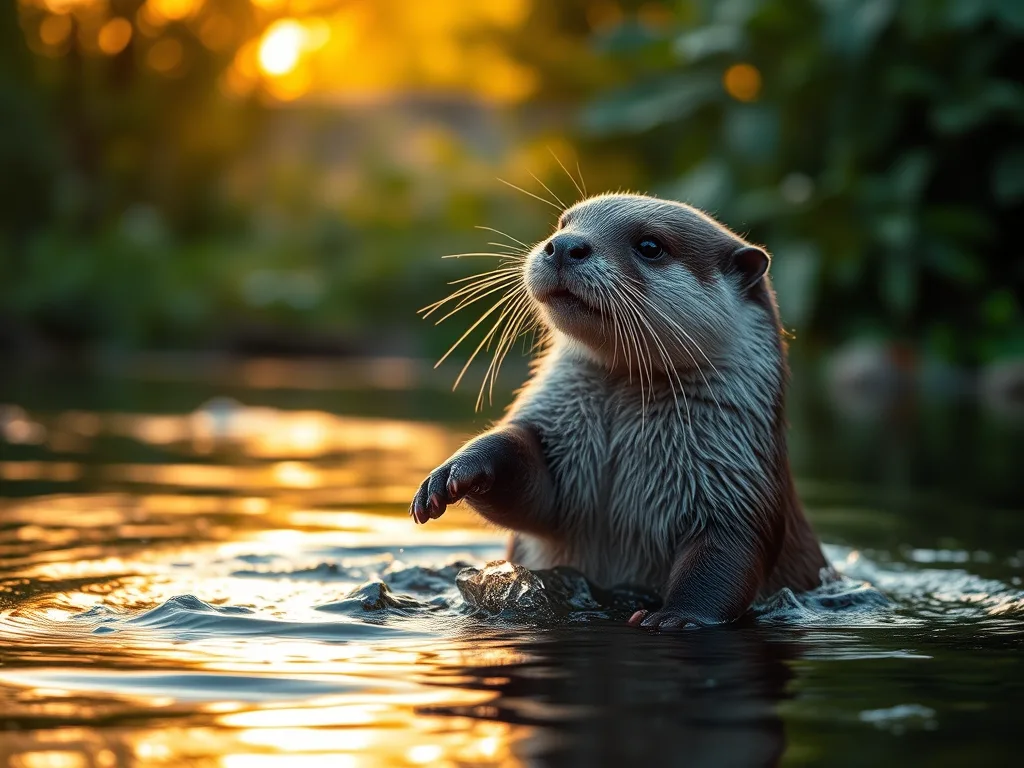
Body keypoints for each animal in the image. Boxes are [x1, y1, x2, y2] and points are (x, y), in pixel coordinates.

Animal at [410, 193, 830, 629]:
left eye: (650, 245)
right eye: (563, 223)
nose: (564, 246)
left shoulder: (735, 480)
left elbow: (726, 555)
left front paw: (676, 617)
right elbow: (531, 491)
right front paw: (458, 471)